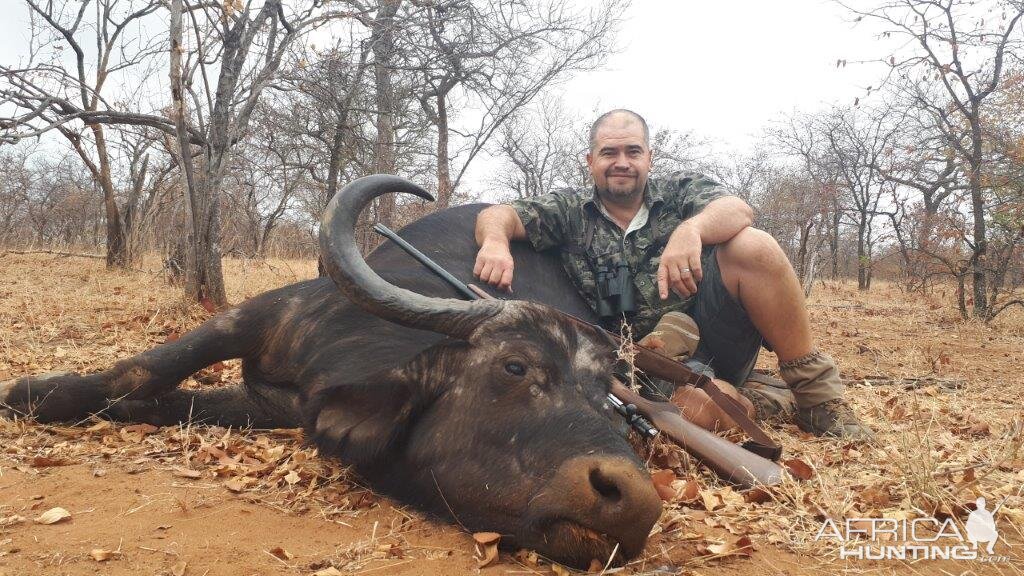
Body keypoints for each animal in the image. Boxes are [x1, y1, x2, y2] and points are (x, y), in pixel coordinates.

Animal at [2, 174, 663, 565]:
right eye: (516, 366)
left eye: (608, 400)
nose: (634, 500)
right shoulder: (265, 314)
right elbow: (147, 369)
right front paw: (31, 391)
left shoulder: (280, 406)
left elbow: (176, 399)